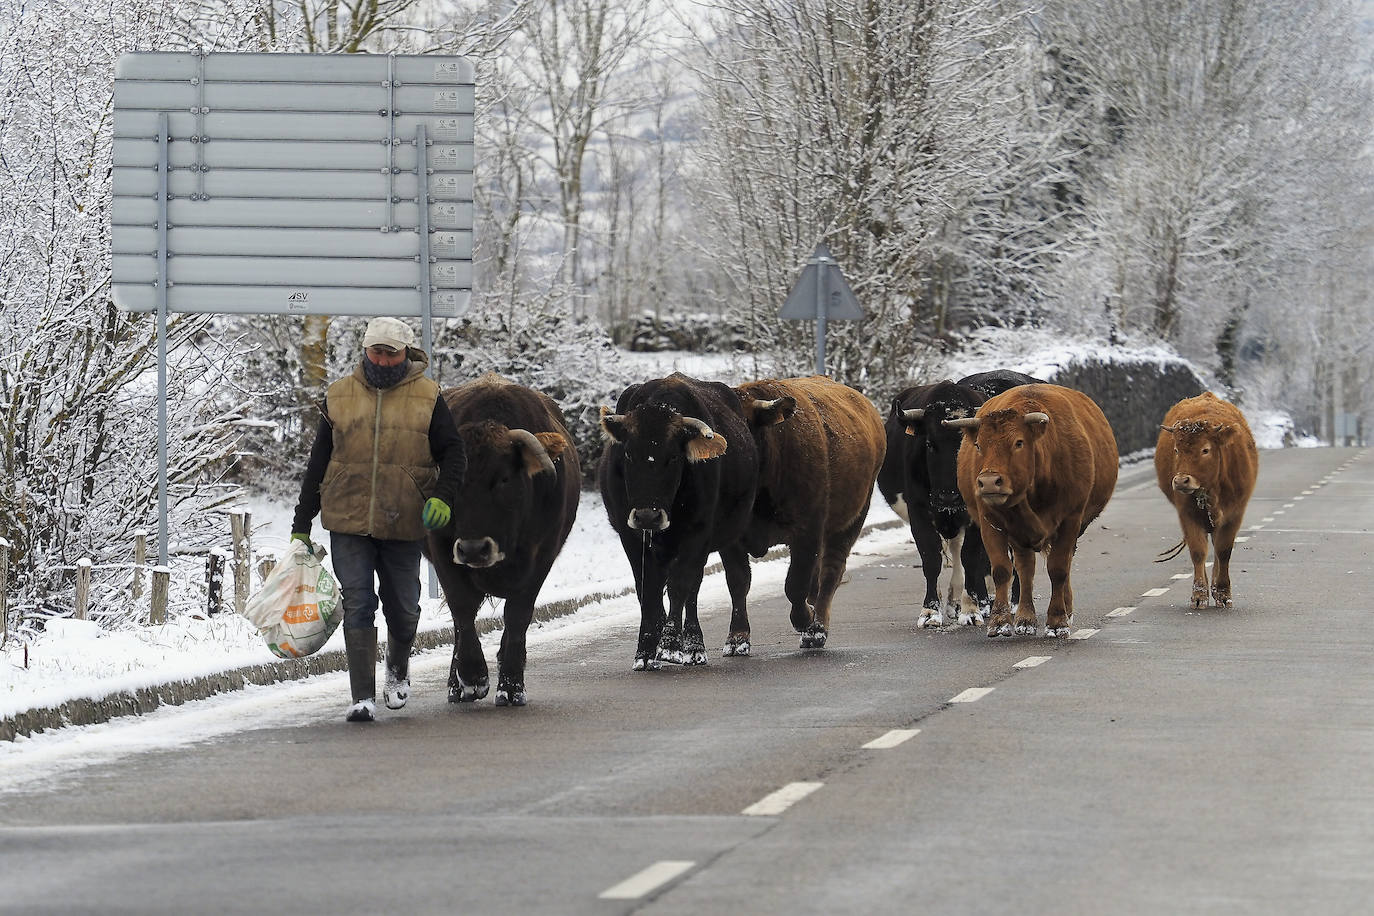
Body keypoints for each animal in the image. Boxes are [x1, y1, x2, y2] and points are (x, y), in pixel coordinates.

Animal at [596, 373, 758, 672]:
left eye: (672, 457)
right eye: (628, 454)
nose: (647, 515)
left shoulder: (698, 534)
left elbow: (680, 586)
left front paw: (670, 644)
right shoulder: (630, 535)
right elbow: (647, 590)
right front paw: (646, 650)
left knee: (698, 588)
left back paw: (697, 646)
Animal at [736, 379, 884, 650]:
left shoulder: (807, 534)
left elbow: (795, 585)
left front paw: (805, 621)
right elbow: (739, 583)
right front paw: (737, 640)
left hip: (850, 522)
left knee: (830, 573)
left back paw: (816, 630)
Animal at [879, 368, 1038, 626]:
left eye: (973, 444)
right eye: (929, 444)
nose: (949, 497)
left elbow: (971, 558)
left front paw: (972, 609)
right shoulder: (919, 512)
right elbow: (932, 557)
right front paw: (930, 611)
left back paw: (1012, 603)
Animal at [956, 384, 1115, 637]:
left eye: (1019, 442)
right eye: (978, 445)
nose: (989, 482)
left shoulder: (1070, 520)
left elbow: (1058, 569)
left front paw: (1058, 621)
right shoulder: (991, 521)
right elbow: (1002, 569)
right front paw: (1000, 621)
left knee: (1062, 564)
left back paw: (1065, 611)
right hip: (1019, 536)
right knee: (1025, 569)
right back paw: (1025, 619)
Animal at [1154, 390, 1258, 609]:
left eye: (1205, 450)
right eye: (1176, 450)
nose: (1181, 480)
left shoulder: (1235, 514)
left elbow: (1223, 551)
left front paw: (1224, 593)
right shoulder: (1186, 514)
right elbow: (1198, 551)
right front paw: (1199, 595)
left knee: (1217, 548)